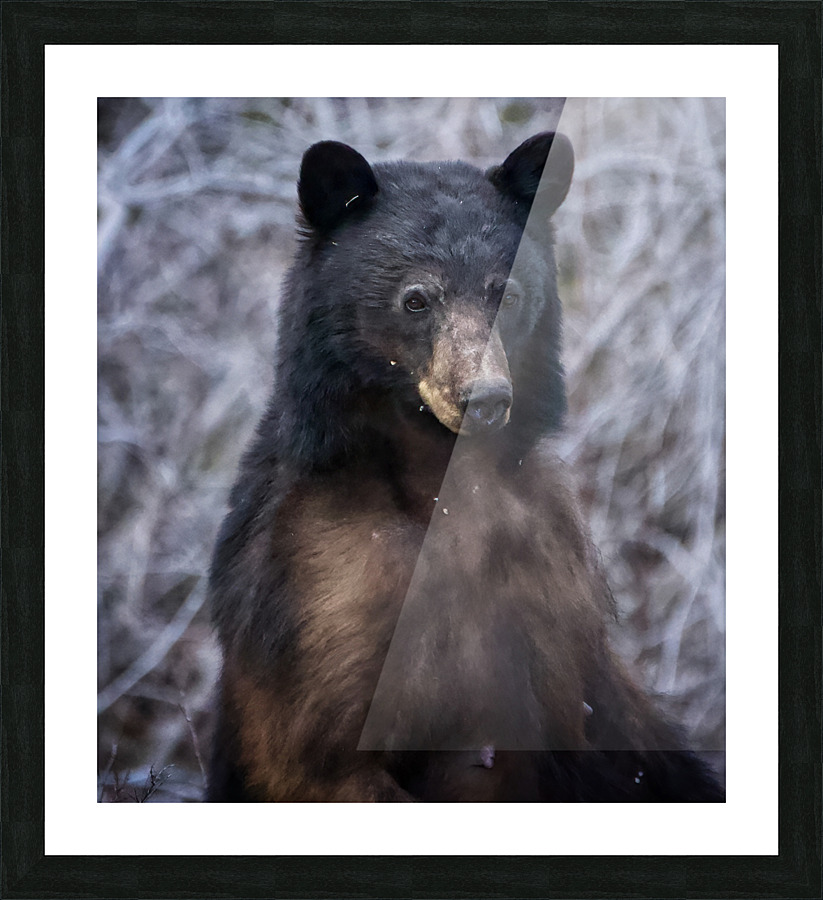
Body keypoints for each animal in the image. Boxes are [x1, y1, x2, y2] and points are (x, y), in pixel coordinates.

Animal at [206, 132, 723, 802]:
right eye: (416, 300)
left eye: (510, 293)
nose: (486, 398)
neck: (437, 482)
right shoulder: (319, 590)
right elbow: (320, 752)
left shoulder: (549, 583)